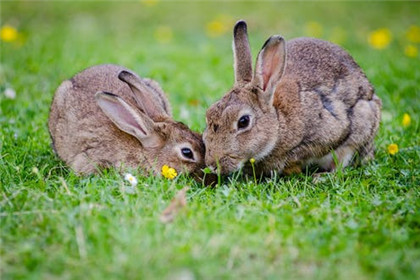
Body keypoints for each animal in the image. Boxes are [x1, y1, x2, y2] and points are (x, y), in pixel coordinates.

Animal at [202, 20, 382, 175]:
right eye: (208, 114)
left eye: (243, 121)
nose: (212, 165)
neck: (278, 122)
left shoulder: (331, 131)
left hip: (363, 121)